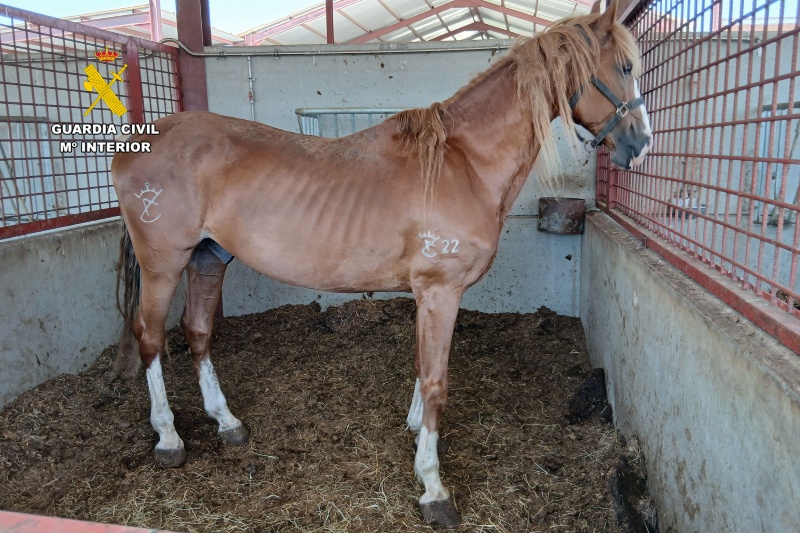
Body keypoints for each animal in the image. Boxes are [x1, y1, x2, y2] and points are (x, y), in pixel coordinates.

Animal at [111, 0, 651, 527]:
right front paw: (433, 486)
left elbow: (420, 365)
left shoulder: (427, 295)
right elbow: (436, 382)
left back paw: (227, 423)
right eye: (625, 67)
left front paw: (414, 430)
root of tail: (142, 139)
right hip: (164, 264)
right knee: (151, 337)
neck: (463, 163)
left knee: (198, 332)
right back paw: (169, 439)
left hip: (208, 258)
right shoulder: (440, 291)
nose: (640, 144)